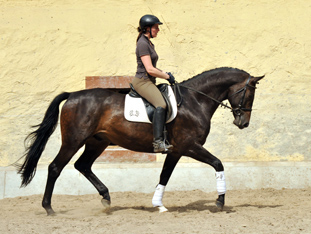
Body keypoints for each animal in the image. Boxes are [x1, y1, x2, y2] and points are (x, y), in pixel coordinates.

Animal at [16, 66, 266, 215]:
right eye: (249, 93)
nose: (243, 123)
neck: (195, 100)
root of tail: (72, 95)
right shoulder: (189, 146)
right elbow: (218, 164)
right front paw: (220, 201)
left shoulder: (176, 150)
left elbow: (164, 176)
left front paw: (159, 205)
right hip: (73, 141)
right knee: (55, 167)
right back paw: (49, 208)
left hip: (97, 141)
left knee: (83, 165)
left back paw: (106, 198)